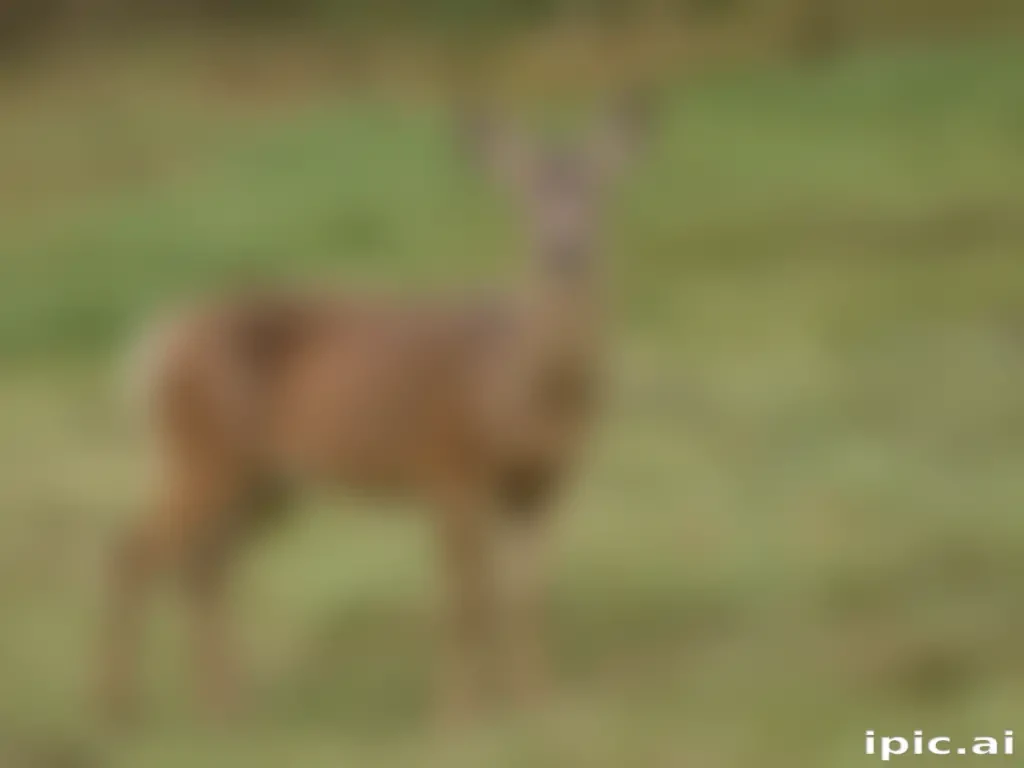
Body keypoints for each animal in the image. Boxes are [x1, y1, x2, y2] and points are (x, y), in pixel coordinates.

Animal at [99, 95, 653, 728]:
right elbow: (466, 601)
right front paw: (456, 718)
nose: (564, 248)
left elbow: (526, 597)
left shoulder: (544, 483)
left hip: (264, 480)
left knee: (204, 565)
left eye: (599, 188)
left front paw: (537, 705)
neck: (515, 386)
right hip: (204, 453)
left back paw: (229, 709)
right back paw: (118, 712)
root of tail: (156, 340)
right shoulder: (449, 467)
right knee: (131, 550)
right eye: (524, 192)